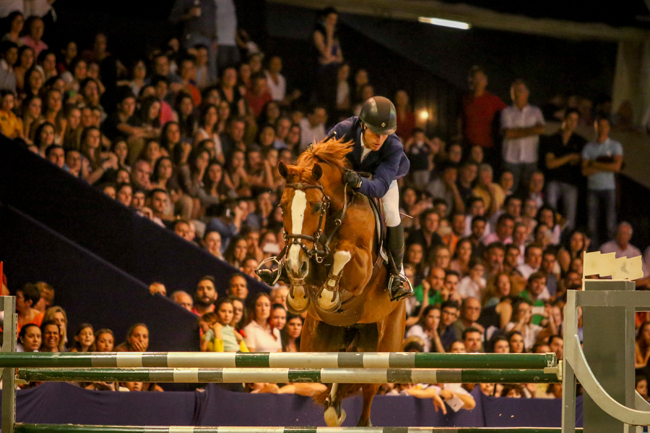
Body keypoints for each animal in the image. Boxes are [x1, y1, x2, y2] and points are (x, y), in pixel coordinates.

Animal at [276, 137, 406, 427]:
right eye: (282, 206)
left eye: (316, 207)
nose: (295, 263)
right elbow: (304, 269)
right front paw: (297, 292)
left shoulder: (361, 268)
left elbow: (342, 255)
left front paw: (328, 296)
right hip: (317, 344)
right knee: (332, 374)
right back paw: (334, 407)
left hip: (383, 346)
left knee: (369, 390)